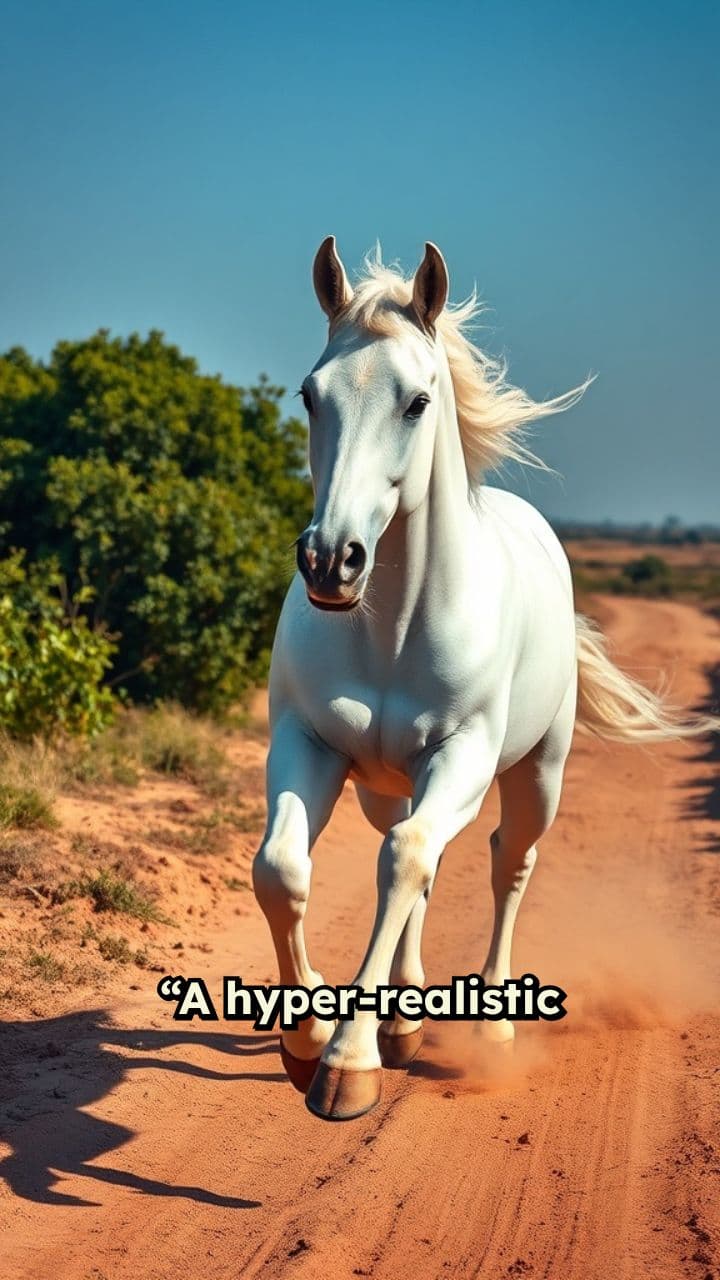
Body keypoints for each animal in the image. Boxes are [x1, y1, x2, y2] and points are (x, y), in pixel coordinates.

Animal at [252, 237, 714, 1121]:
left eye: (416, 402)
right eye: (309, 396)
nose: (330, 562)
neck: (391, 628)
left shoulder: (462, 757)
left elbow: (403, 864)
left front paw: (348, 1067)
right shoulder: (309, 746)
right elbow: (284, 869)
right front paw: (304, 1039)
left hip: (537, 774)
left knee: (504, 864)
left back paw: (490, 1029)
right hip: (386, 784)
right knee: (419, 859)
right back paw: (404, 1023)